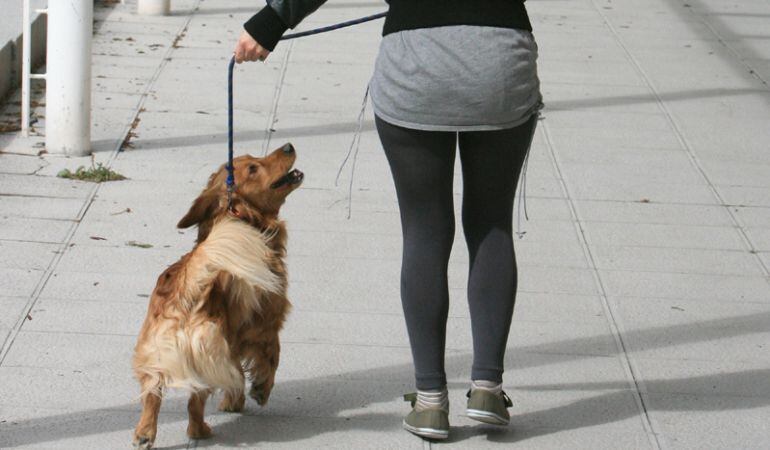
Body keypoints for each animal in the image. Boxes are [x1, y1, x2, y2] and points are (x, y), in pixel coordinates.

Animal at [132, 143, 300, 446]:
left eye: (253, 159)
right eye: (253, 168)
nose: (288, 146)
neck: (241, 220)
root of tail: (187, 289)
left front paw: (235, 399)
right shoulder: (266, 321)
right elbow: (272, 355)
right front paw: (260, 390)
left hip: (155, 356)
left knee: (152, 396)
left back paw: (144, 434)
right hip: (205, 356)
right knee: (194, 404)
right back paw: (201, 430)